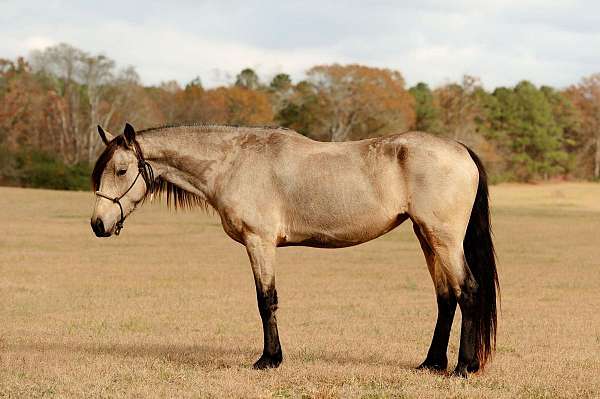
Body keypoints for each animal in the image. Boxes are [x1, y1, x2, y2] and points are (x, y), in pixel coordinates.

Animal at [89, 122, 500, 378]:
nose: (98, 225)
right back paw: (431, 363)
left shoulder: (259, 242)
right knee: (446, 297)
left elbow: (265, 300)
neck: (234, 162)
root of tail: (460, 149)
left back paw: (463, 368)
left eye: (121, 170)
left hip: (443, 239)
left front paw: (269, 359)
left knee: (468, 291)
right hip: (425, 237)